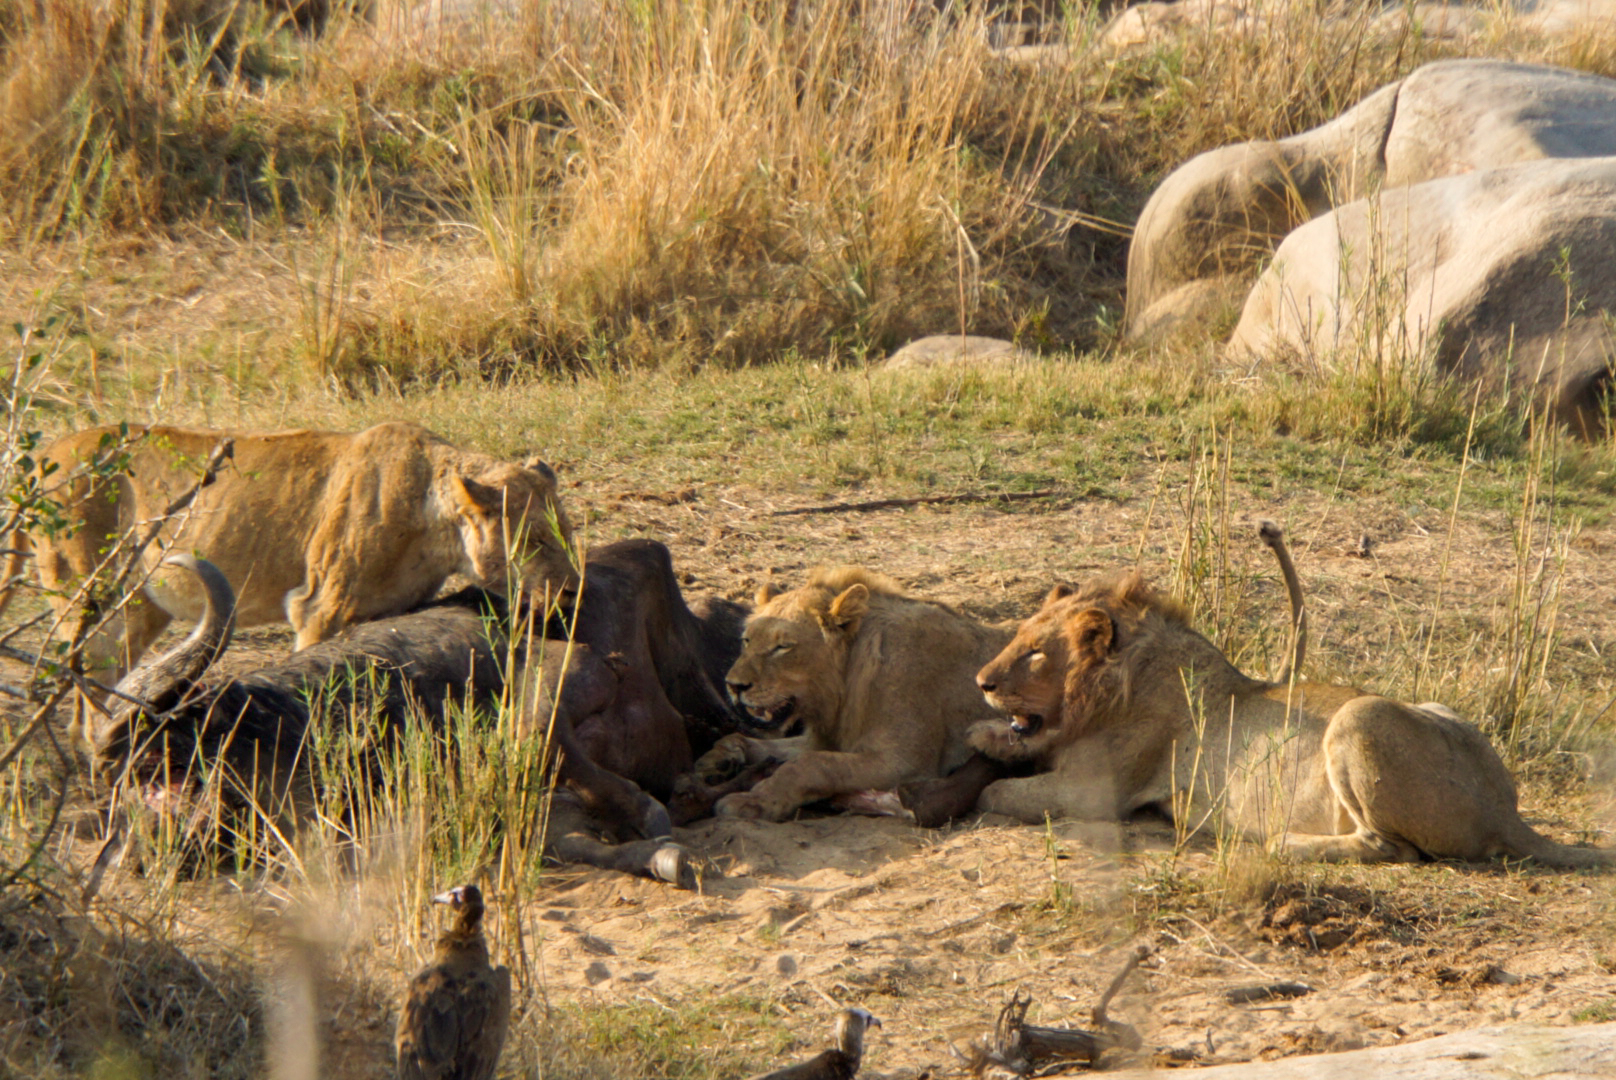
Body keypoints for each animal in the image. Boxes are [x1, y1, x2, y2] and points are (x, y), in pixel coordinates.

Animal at [704, 565, 1008, 818]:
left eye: (783, 647)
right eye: (747, 641)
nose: (733, 685)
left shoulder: (905, 762)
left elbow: (810, 765)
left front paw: (754, 801)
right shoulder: (821, 739)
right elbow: (756, 743)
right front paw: (719, 758)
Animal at [969, 523, 1616, 866]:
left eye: (1035, 653)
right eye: (1018, 635)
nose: (981, 682)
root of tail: (1504, 812)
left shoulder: (1098, 788)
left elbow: (999, 793)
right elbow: (1019, 746)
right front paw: (984, 732)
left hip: (1361, 714)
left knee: (1390, 847)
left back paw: (1280, 841)